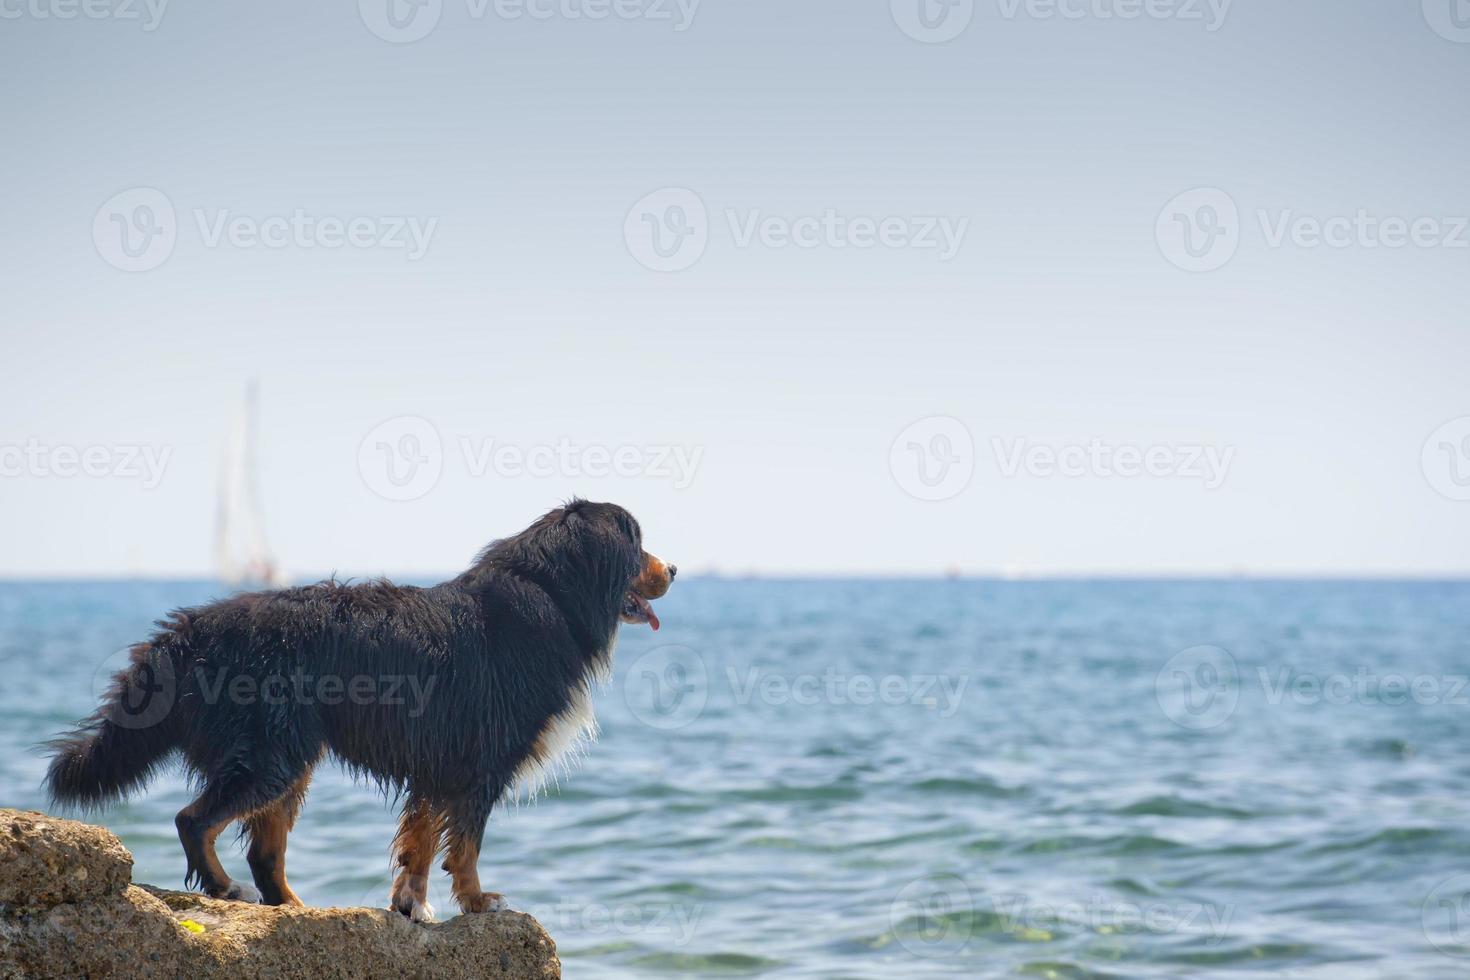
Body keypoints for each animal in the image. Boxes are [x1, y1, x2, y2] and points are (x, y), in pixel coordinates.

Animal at [44, 502, 676, 922]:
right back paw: (226, 890)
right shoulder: (481, 761)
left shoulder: (439, 759)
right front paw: (477, 901)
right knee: (195, 820)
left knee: (263, 850)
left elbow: (421, 841)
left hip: (289, 755)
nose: (672, 569)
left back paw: (295, 907)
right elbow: (465, 846)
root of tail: (185, 632)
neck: (552, 593)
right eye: (637, 541)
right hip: (273, 751)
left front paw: (411, 905)